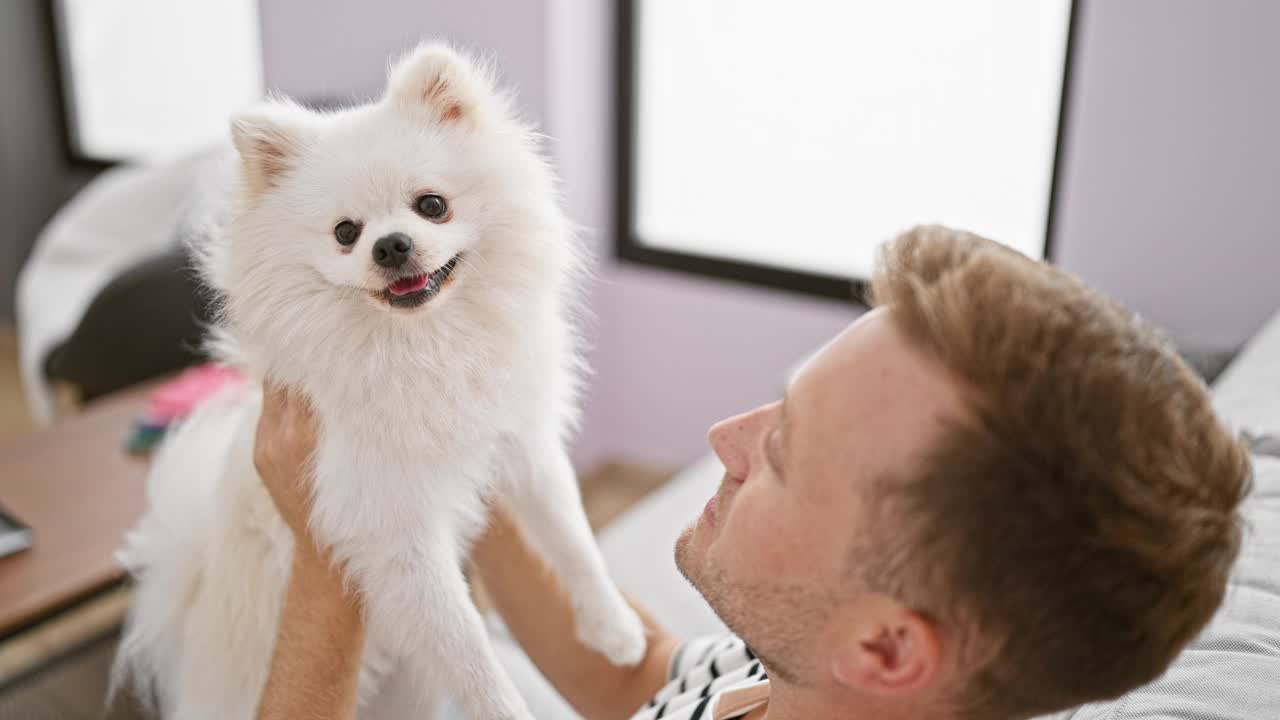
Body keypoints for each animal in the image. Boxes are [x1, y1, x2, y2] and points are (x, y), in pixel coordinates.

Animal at [110, 44, 645, 717]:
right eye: (346, 233)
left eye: (432, 205)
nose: (390, 245)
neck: (421, 344)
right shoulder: (393, 532)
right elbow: (468, 650)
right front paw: (508, 707)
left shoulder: (521, 446)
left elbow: (571, 536)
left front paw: (614, 627)